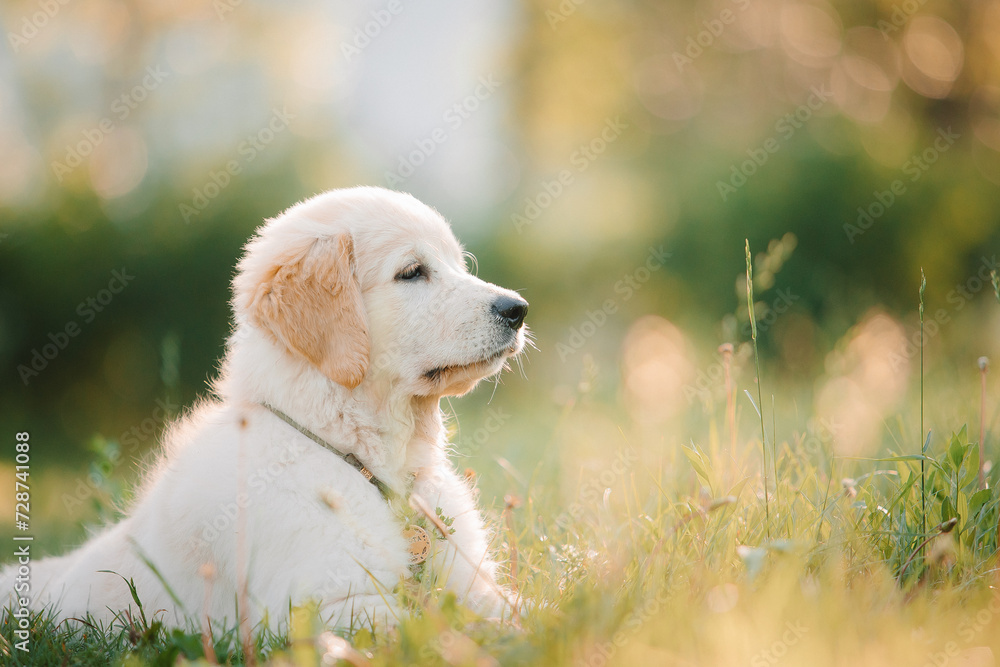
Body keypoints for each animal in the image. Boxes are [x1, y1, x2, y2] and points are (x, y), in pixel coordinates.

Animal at [0, 188, 528, 632]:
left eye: (458, 265)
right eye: (413, 271)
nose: (518, 308)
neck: (368, 465)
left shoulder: (474, 585)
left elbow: (514, 610)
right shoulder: (320, 609)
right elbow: (435, 623)